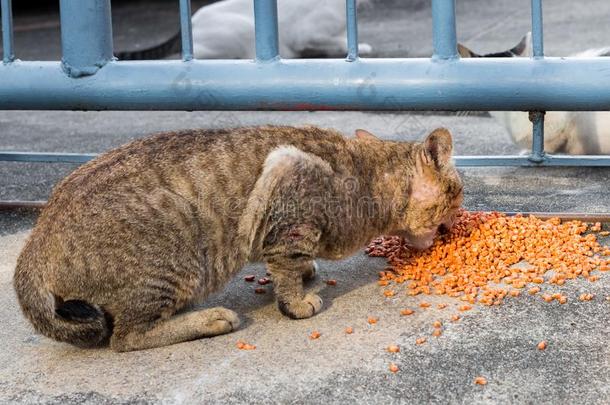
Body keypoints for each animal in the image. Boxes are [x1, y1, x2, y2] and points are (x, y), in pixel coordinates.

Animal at [13, 125, 460, 350]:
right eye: (457, 197)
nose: (455, 226)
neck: (366, 176)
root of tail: (35, 244)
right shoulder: (287, 198)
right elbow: (286, 269)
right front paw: (297, 300)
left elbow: (290, 263)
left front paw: (306, 271)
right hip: (176, 255)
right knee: (125, 337)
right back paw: (209, 319)